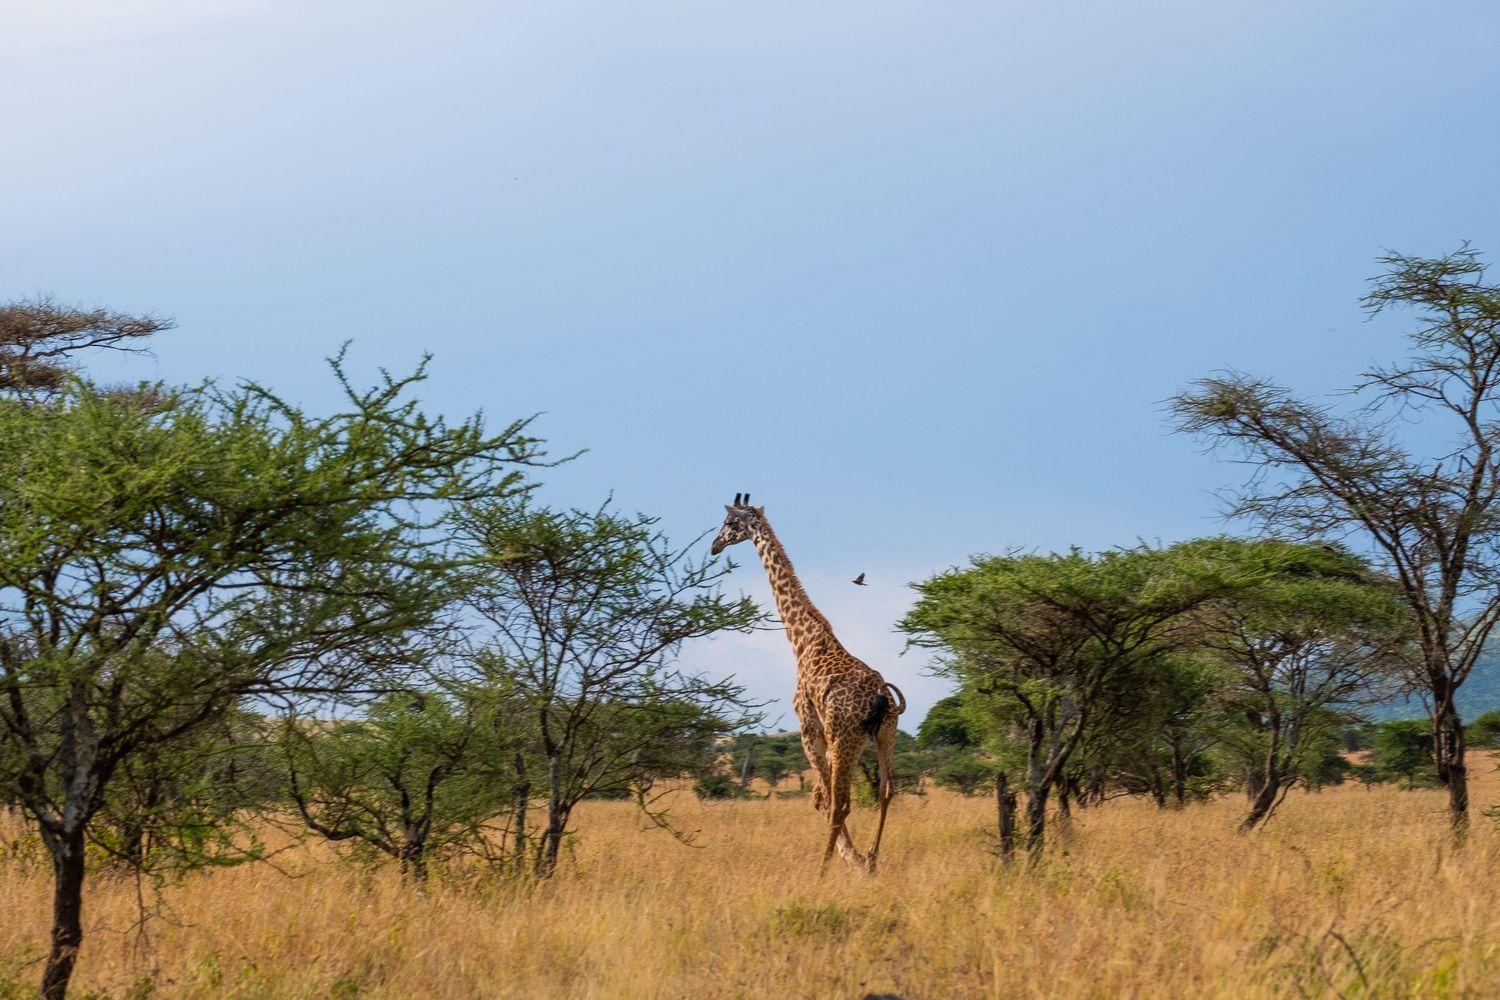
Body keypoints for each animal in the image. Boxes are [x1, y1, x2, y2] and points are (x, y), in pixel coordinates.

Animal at [711, 493, 906, 874]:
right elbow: (820, 797)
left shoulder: (808, 727)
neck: (802, 640)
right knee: (885, 791)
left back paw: (825, 868)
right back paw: (871, 858)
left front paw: (845, 857)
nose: (714, 546)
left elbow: (824, 798)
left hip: (846, 738)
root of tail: (881, 698)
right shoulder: (828, 736)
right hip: (884, 735)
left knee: (842, 802)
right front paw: (855, 856)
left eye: (729, 524)